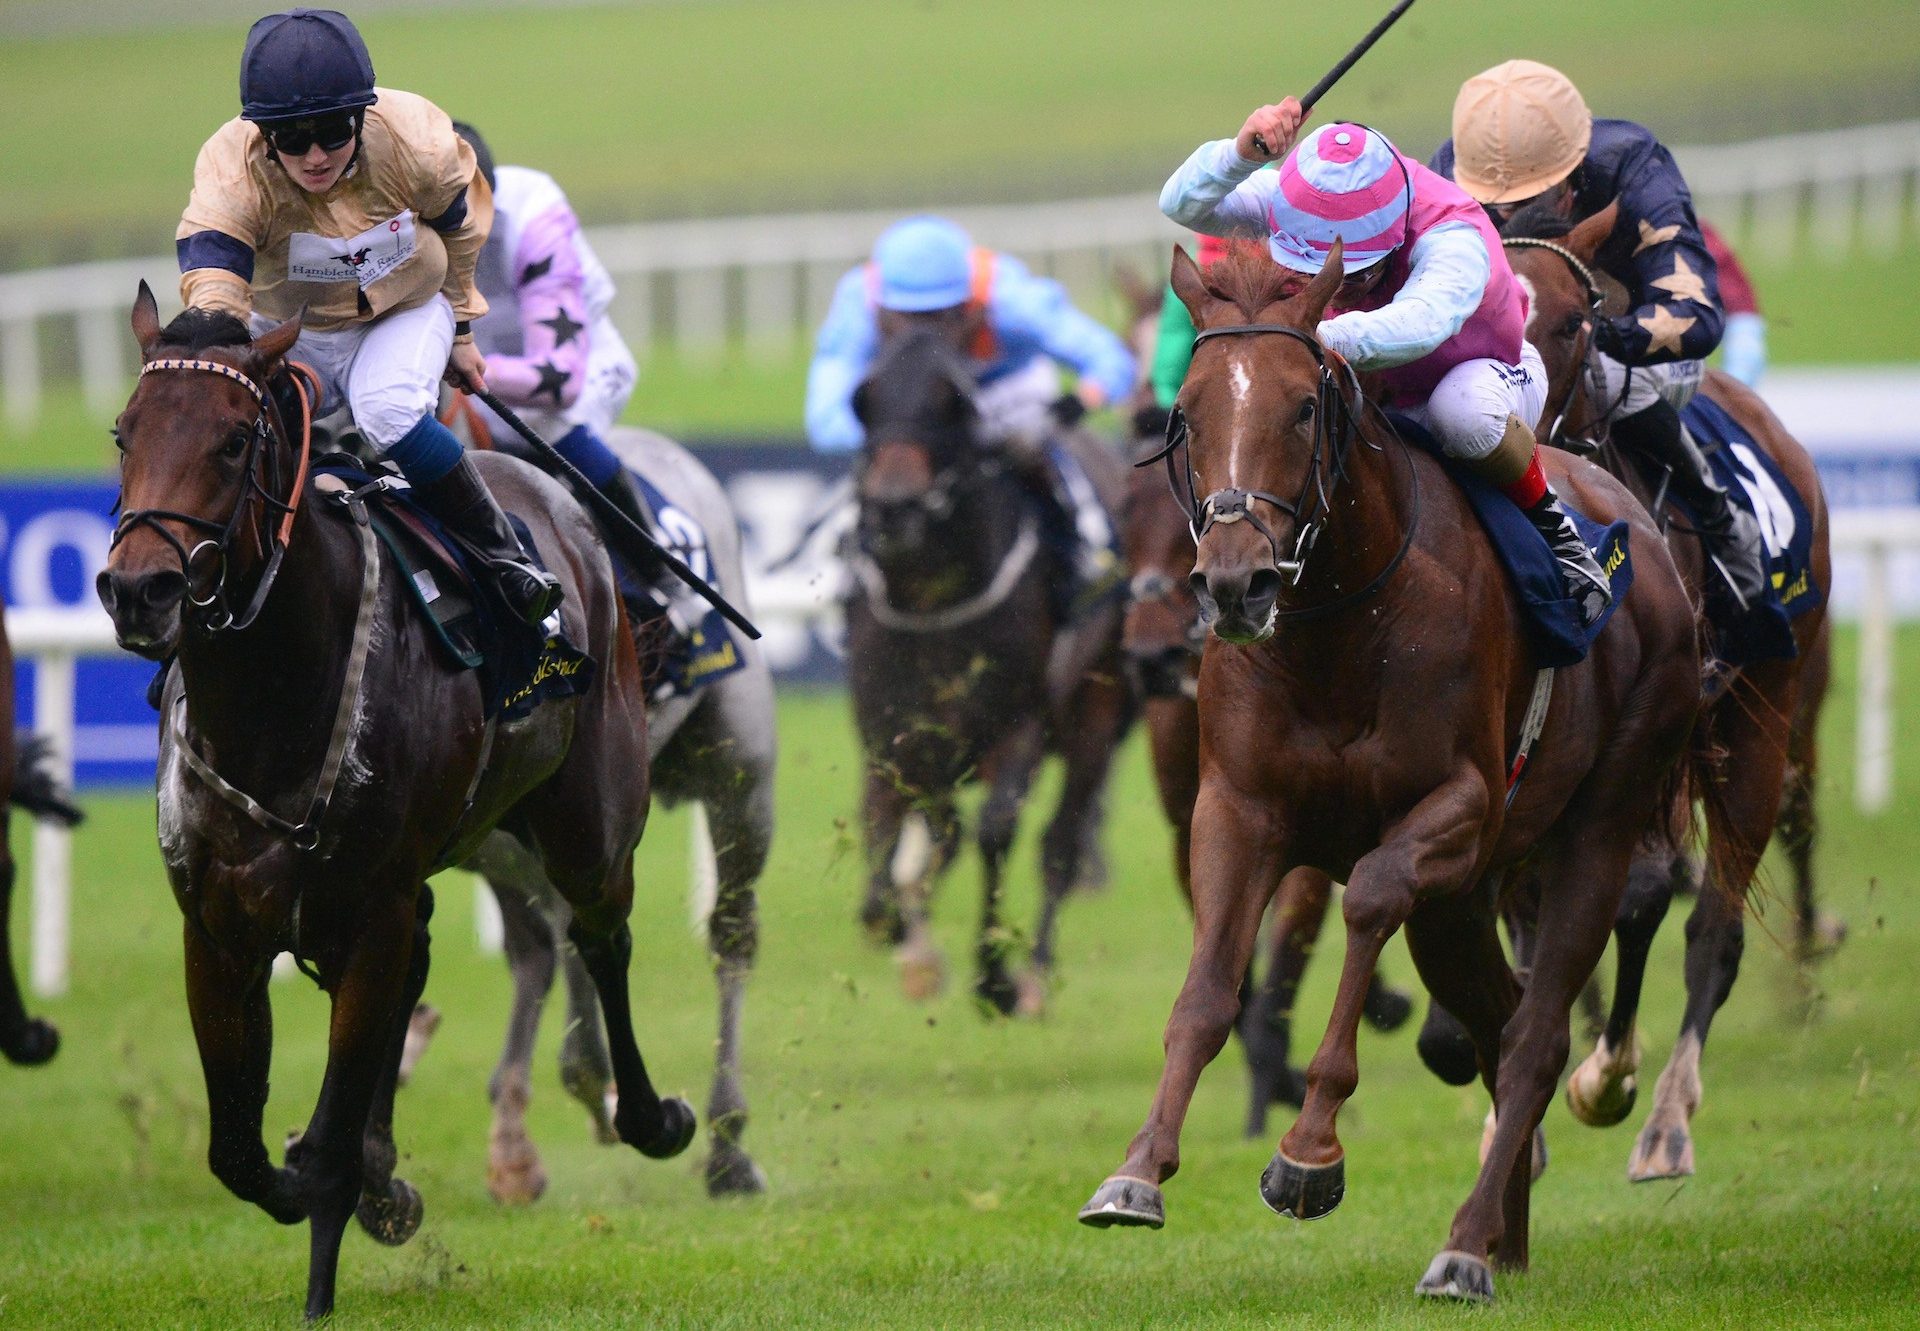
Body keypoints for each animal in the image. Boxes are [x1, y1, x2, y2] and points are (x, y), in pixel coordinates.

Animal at [1075, 243, 1704, 1306]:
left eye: (1302, 406)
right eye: (1189, 411)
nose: (1234, 581)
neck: (1337, 633)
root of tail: (1646, 537)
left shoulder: (1453, 807)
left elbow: (1368, 895)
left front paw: (1308, 1152)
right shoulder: (1235, 810)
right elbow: (1208, 990)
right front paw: (1136, 1170)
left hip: (1596, 824)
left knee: (1536, 1037)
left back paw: (1464, 1245)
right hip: (1462, 899)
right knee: (1497, 1019)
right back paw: (1502, 1240)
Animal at [1497, 202, 1827, 1175]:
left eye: (1575, 321)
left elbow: (1642, 893)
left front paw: (1603, 1076)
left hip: (1763, 718)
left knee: (1712, 926)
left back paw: (1664, 1116)